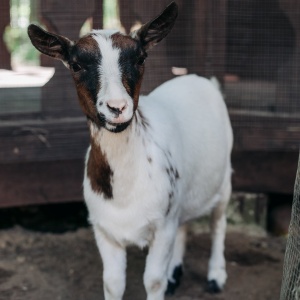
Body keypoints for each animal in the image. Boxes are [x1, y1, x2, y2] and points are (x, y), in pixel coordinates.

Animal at [28, 2, 233, 300]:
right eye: (76, 65)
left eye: (140, 59)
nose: (117, 107)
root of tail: (202, 80)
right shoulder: (105, 230)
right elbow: (113, 283)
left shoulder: (162, 225)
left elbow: (153, 281)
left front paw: (166, 280)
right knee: (185, 223)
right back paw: (176, 273)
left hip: (225, 175)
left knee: (219, 223)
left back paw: (216, 276)